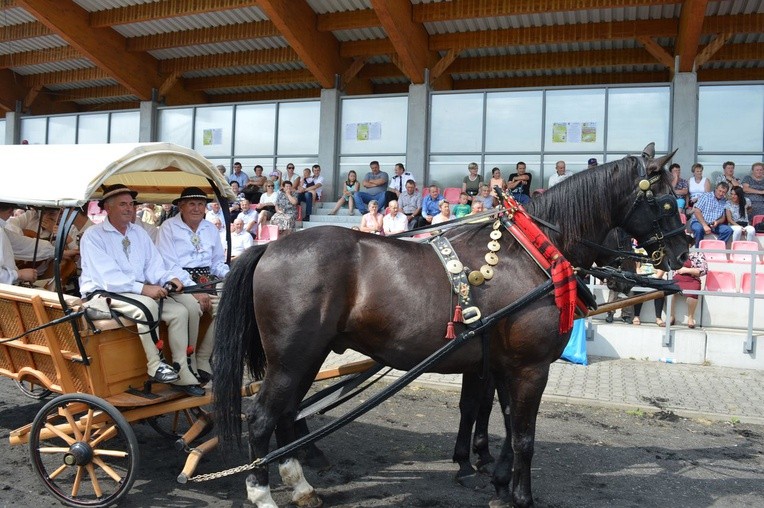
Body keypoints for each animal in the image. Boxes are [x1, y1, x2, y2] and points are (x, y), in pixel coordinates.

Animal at [212, 145, 688, 506]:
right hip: (293, 357)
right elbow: (522, 435)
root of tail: (269, 249)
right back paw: (263, 493)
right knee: (262, 417)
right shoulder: (529, 367)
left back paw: (301, 485)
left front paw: (497, 481)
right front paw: (518, 494)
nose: (683, 255)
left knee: (287, 412)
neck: (532, 252)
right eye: (667, 203)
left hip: (307, 355)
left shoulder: (501, 364)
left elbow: (503, 421)